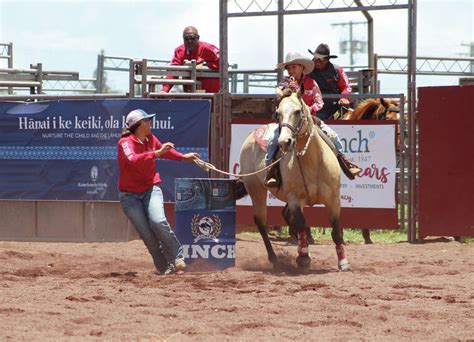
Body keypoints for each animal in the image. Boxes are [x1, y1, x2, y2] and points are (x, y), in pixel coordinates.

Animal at [235, 88, 350, 272]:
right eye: (278, 113)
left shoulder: (333, 198)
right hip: (255, 188)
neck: (313, 161)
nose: (284, 142)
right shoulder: (295, 198)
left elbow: (336, 231)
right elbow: (302, 224)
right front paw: (303, 258)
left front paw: (343, 262)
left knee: (285, 216)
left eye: (297, 111)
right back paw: (274, 258)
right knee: (261, 222)